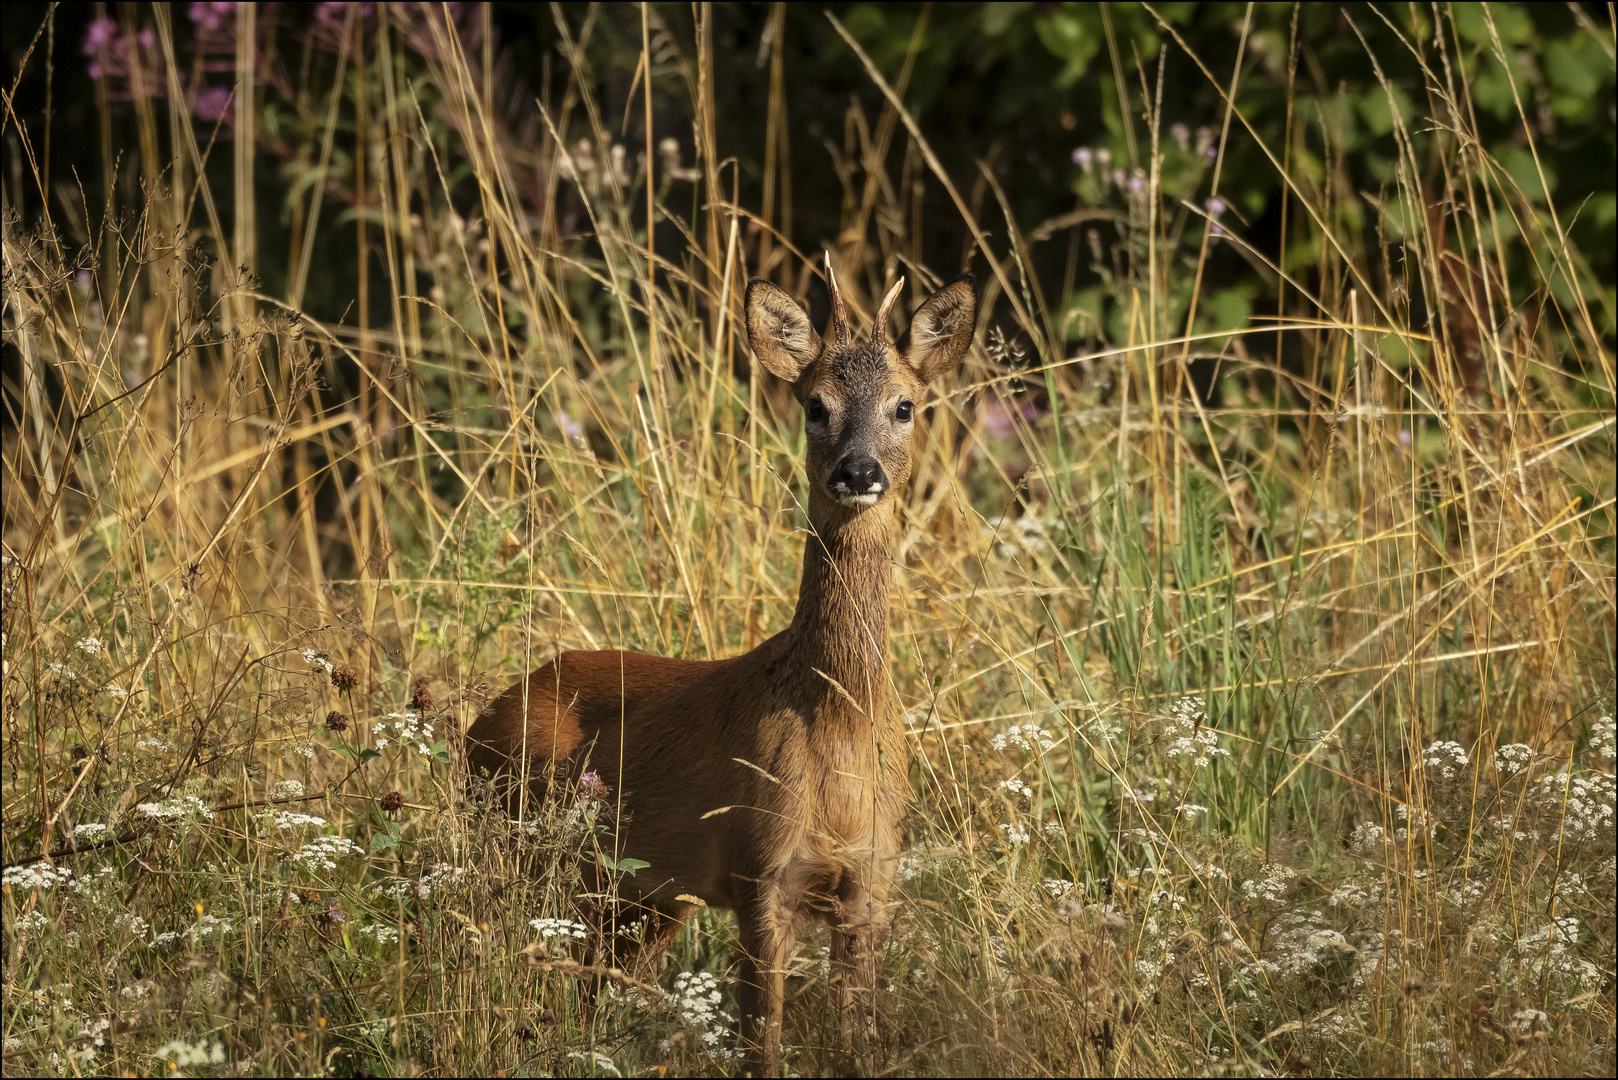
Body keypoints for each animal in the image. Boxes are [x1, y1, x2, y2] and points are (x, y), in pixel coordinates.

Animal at [462, 259, 977, 1075]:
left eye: (906, 405)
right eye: (815, 406)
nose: (857, 470)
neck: (838, 726)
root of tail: (482, 716)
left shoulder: (871, 881)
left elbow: (858, 1044)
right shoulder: (759, 872)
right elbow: (760, 1046)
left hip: (639, 898)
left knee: (589, 987)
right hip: (519, 844)